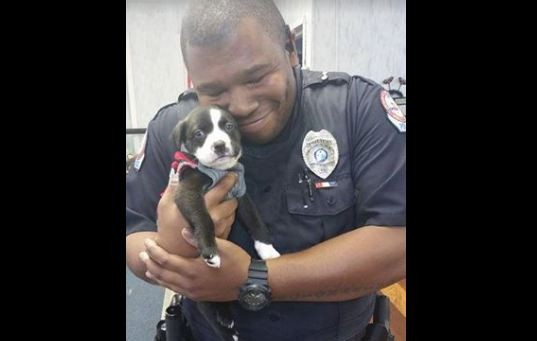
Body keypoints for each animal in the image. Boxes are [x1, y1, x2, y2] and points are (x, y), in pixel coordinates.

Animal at [171, 105, 280, 338]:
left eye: (229, 126)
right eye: (198, 133)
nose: (220, 145)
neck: (220, 171)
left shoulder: (241, 192)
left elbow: (255, 220)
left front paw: (267, 249)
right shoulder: (188, 193)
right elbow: (204, 218)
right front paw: (210, 250)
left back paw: (226, 316)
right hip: (201, 290)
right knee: (210, 315)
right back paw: (226, 328)